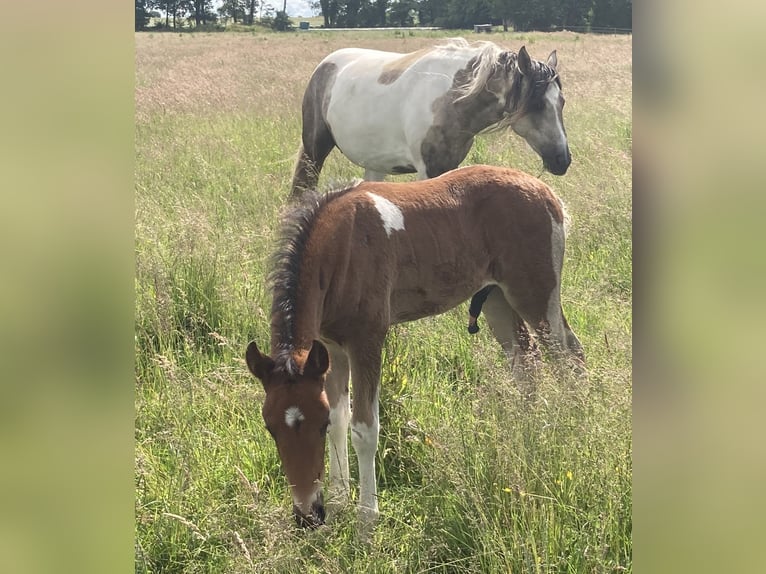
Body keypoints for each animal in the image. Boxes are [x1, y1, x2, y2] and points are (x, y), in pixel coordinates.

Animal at [246, 165, 585, 527]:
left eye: (317, 425)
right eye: (269, 427)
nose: (308, 515)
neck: (342, 249)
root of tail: (545, 191)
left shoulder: (366, 340)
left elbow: (363, 429)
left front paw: (367, 518)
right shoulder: (330, 348)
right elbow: (341, 417)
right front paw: (338, 502)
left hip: (536, 295)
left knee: (569, 357)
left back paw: (574, 430)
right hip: (496, 298)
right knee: (527, 362)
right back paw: (527, 431)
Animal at [290, 38, 571, 196]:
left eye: (561, 102)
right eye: (536, 105)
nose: (563, 159)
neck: (452, 99)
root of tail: (326, 65)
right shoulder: (428, 170)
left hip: (375, 164)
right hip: (314, 151)